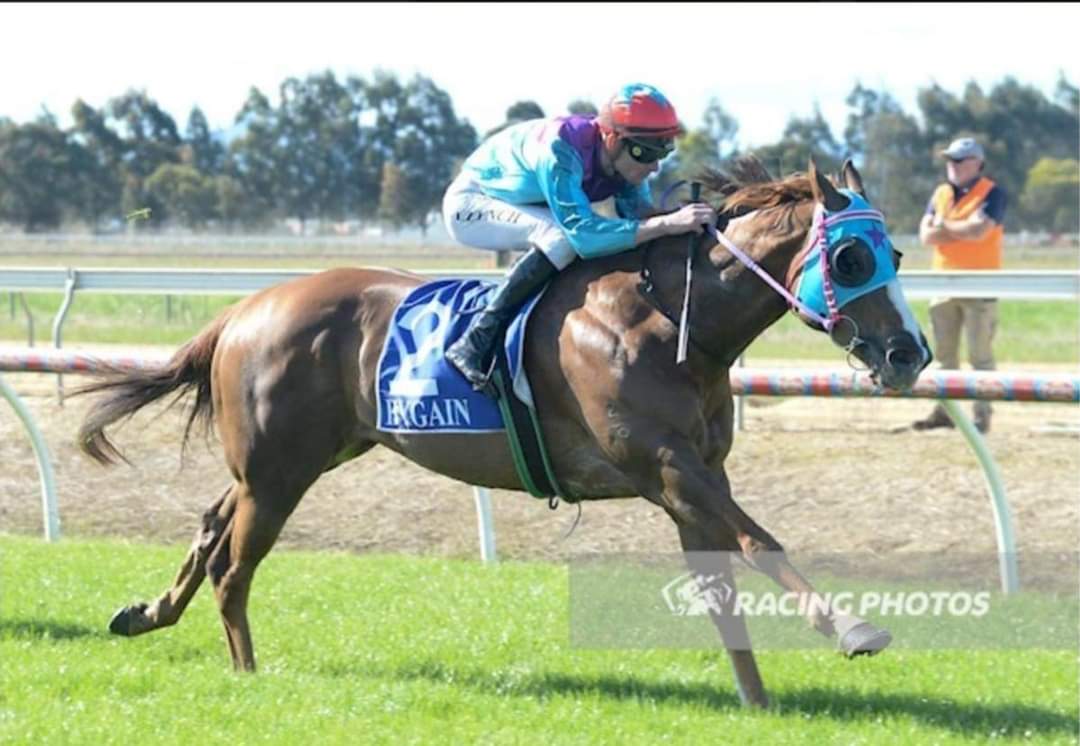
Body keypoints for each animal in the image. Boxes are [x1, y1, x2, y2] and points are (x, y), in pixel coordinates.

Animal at [75, 157, 931, 709]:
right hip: (280, 469)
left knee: (211, 522)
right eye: (850, 257)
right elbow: (760, 541)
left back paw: (146, 614)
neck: (665, 319)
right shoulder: (664, 466)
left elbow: (722, 583)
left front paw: (758, 703)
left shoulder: (693, 476)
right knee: (234, 564)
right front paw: (852, 627)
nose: (909, 353)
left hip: (301, 457)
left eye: (891, 250)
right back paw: (248, 677)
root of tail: (244, 309)